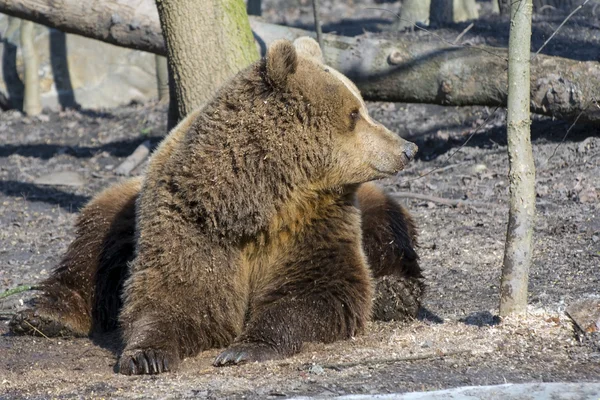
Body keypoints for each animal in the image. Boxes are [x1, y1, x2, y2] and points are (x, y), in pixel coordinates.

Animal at [9, 36, 422, 376]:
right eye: (354, 114)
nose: (408, 148)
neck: (258, 202)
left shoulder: (315, 220)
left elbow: (319, 287)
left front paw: (245, 347)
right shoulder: (193, 221)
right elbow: (181, 294)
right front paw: (146, 355)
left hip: (377, 212)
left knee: (390, 233)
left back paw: (394, 293)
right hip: (123, 207)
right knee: (91, 247)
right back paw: (44, 316)